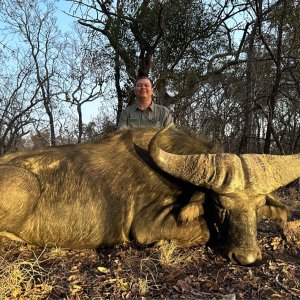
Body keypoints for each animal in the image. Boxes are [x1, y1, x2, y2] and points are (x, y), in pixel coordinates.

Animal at [0, 125, 298, 266]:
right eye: (219, 204)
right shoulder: (146, 226)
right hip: (26, 185)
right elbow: (205, 231)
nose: (246, 257)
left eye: (259, 206)